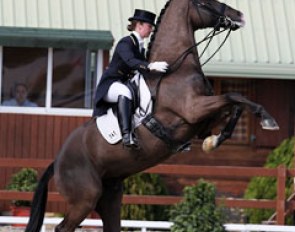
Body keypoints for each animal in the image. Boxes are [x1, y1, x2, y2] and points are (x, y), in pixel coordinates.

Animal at [25, 0, 280, 232]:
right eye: (204, 2)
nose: (239, 16)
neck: (177, 69)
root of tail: (57, 162)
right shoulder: (194, 109)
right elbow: (233, 95)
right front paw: (269, 119)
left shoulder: (201, 121)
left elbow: (234, 106)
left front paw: (213, 142)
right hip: (85, 198)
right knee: (63, 228)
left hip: (110, 196)